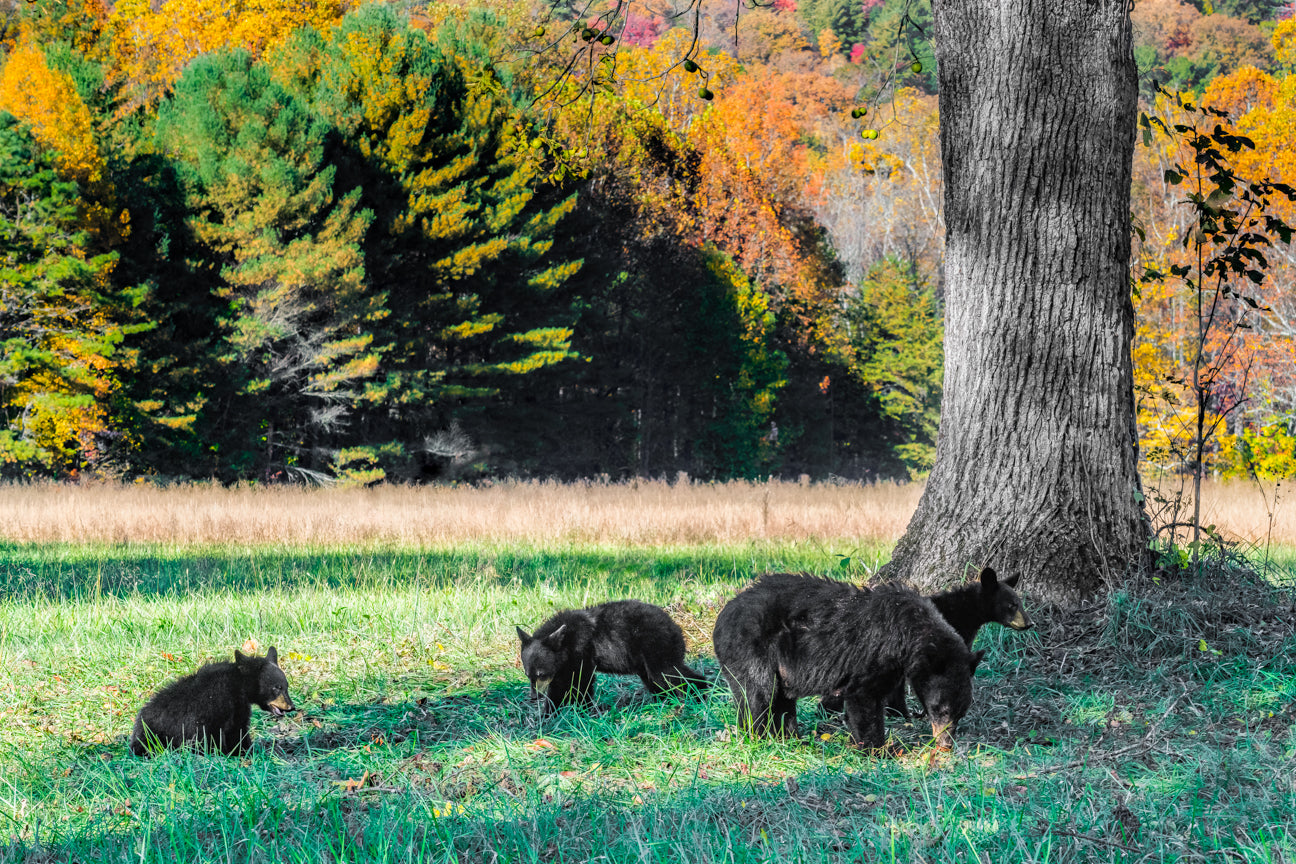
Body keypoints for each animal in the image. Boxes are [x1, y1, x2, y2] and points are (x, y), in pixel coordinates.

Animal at [128, 645, 296, 751]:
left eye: (286, 686)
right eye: (276, 687)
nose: (291, 706)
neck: (238, 686)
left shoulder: (238, 707)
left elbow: (238, 730)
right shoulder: (212, 706)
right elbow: (209, 734)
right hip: (152, 736)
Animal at [515, 598, 710, 715]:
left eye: (541, 673)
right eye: (527, 674)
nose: (533, 696)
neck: (568, 640)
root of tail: (676, 627)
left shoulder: (582, 652)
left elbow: (582, 683)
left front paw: (583, 710)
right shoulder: (563, 665)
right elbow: (558, 687)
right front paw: (548, 716)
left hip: (657, 648)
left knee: (668, 674)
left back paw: (700, 696)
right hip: (645, 662)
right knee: (657, 682)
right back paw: (662, 703)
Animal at [710, 575, 979, 751]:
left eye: (961, 713)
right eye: (940, 709)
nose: (946, 744)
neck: (909, 630)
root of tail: (721, 617)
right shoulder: (877, 654)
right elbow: (864, 696)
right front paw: (877, 749)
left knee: (781, 699)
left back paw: (790, 738)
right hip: (750, 650)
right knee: (756, 695)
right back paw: (758, 738)